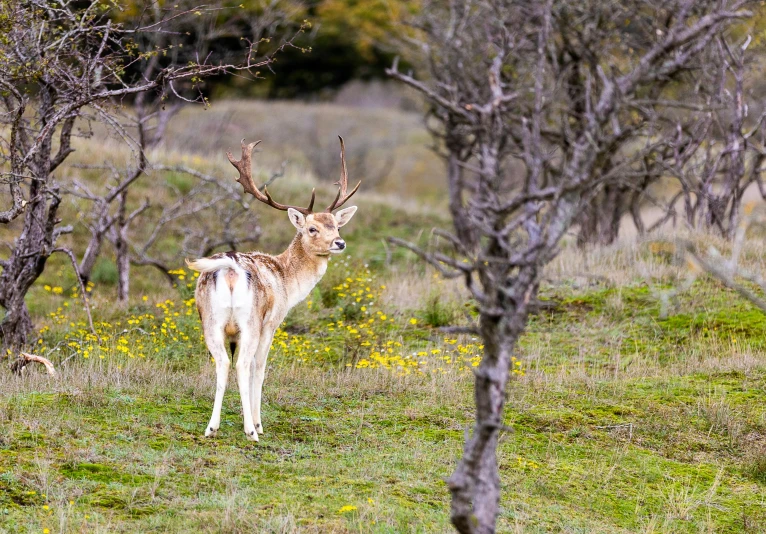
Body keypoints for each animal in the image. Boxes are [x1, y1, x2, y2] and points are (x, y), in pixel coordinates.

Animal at [189, 136, 364, 442]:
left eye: (336, 225)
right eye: (312, 229)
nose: (340, 243)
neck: (286, 279)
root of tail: (230, 269)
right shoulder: (272, 322)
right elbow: (259, 369)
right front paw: (258, 423)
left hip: (210, 319)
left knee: (222, 363)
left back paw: (211, 427)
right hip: (250, 321)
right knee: (243, 365)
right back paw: (251, 431)